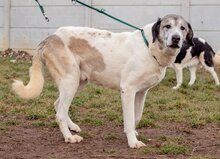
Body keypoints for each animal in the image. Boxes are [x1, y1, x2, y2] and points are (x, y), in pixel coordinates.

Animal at [12, 14, 193, 148]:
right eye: (167, 26)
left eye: (182, 28)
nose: (176, 38)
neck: (150, 47)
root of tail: (50, 37)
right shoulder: (128, 90)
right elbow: (129, 118)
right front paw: (132, 142)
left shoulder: (141, 92)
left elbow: (137, 117)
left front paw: (133, 134)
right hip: (70, 81)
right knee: (60, 113)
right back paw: (69, 137)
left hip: (78, 82)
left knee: (58, 105)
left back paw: (72, 128)